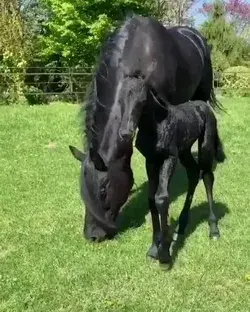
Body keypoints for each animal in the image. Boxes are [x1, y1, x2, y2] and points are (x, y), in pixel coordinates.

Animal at [143, 100, 227, 266]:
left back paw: (213, 229)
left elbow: (161, 197)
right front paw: (154, 248)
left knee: (207, 176)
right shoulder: (150, 161)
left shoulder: (170, 157)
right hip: (185, 150)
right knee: (193, 173)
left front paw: (164, 255)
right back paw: (181, 227)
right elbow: (151, 198)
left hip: (205, 145)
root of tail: (204, 105)